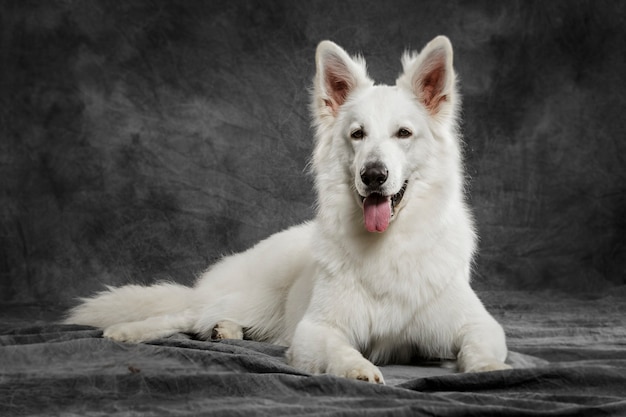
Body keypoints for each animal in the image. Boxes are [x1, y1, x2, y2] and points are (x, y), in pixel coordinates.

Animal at [67, 36, 508, 384]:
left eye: (404, 133)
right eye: (357, 134)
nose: (373, 175)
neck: (387, 246)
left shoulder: (477, 323)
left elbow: (483, 345)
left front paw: (487, 372)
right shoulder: (316, 328)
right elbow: (341, 350)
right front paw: (358, 369)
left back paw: (225, 331)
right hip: (252, 299)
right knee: (185, 313)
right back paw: (129, 330)